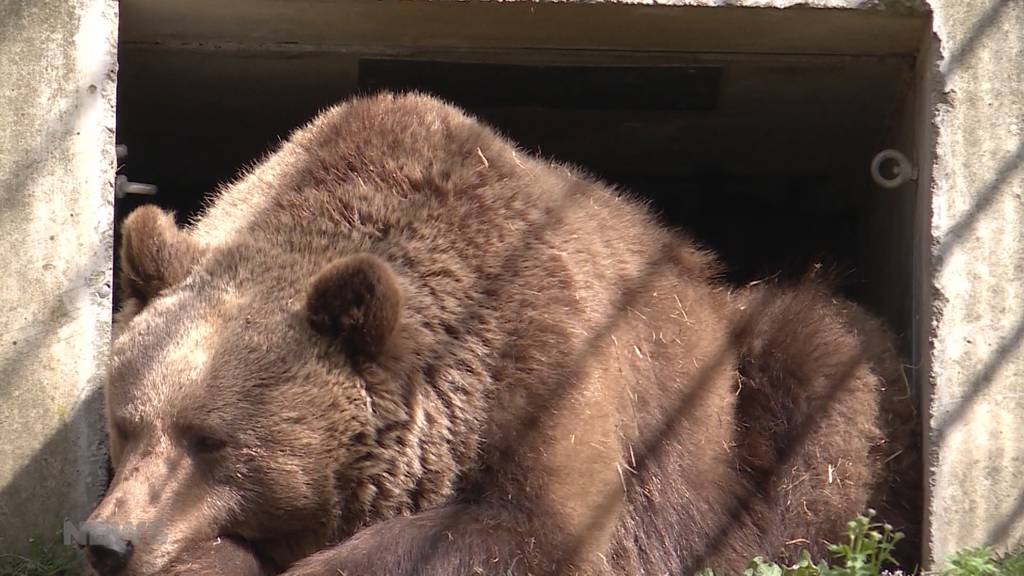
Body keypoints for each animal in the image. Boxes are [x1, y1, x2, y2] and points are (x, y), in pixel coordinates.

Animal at [83, 91, 921, 569]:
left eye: (212, 441)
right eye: (126, 425)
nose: (108, 542)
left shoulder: (549, 361)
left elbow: (526, 529)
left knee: (819, 366)